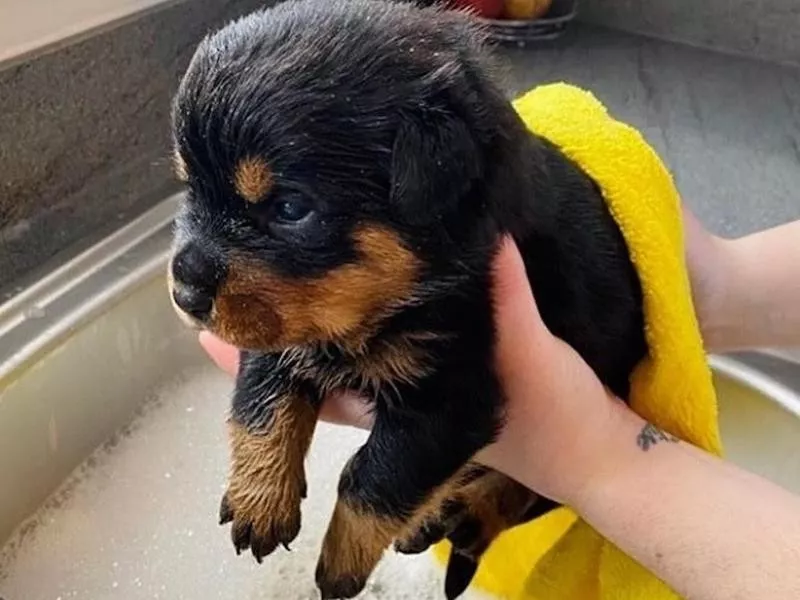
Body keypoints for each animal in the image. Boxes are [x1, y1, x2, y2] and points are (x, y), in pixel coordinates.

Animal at [166, 2, 648, 596]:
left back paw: (466, 516)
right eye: (189, 188)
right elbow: (262, 397)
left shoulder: (451, 395)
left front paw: (338, 568)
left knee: (526, 494)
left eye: (290, 209)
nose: (184, 291)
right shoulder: (282, 327)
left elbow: (374, 477)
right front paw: (259, 499)